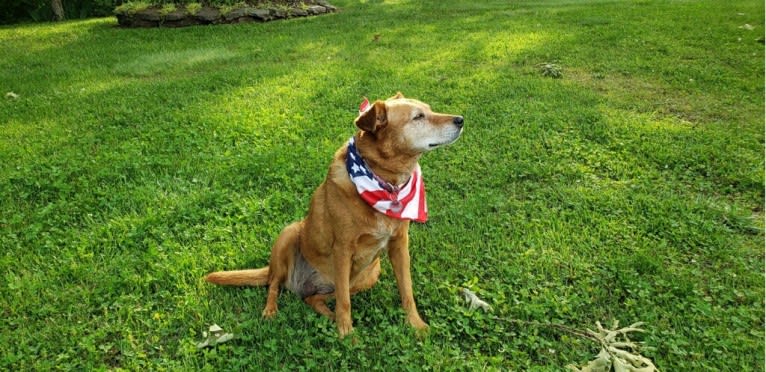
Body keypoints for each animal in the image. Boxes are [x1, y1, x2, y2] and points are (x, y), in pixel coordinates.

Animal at [206, 93, 462, 338]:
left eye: (429, 109)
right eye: (418, 117)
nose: (460, 119)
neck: (385, 183)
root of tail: (300, 284)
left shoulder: (400, 244)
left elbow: (407, 291)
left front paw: (416, 325)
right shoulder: (342, 249)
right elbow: (345, 303)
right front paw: (346, 335)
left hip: (368, 274)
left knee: (316, 298)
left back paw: (328, 316)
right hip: (289, 235)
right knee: (274, 285)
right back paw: (271, 311)